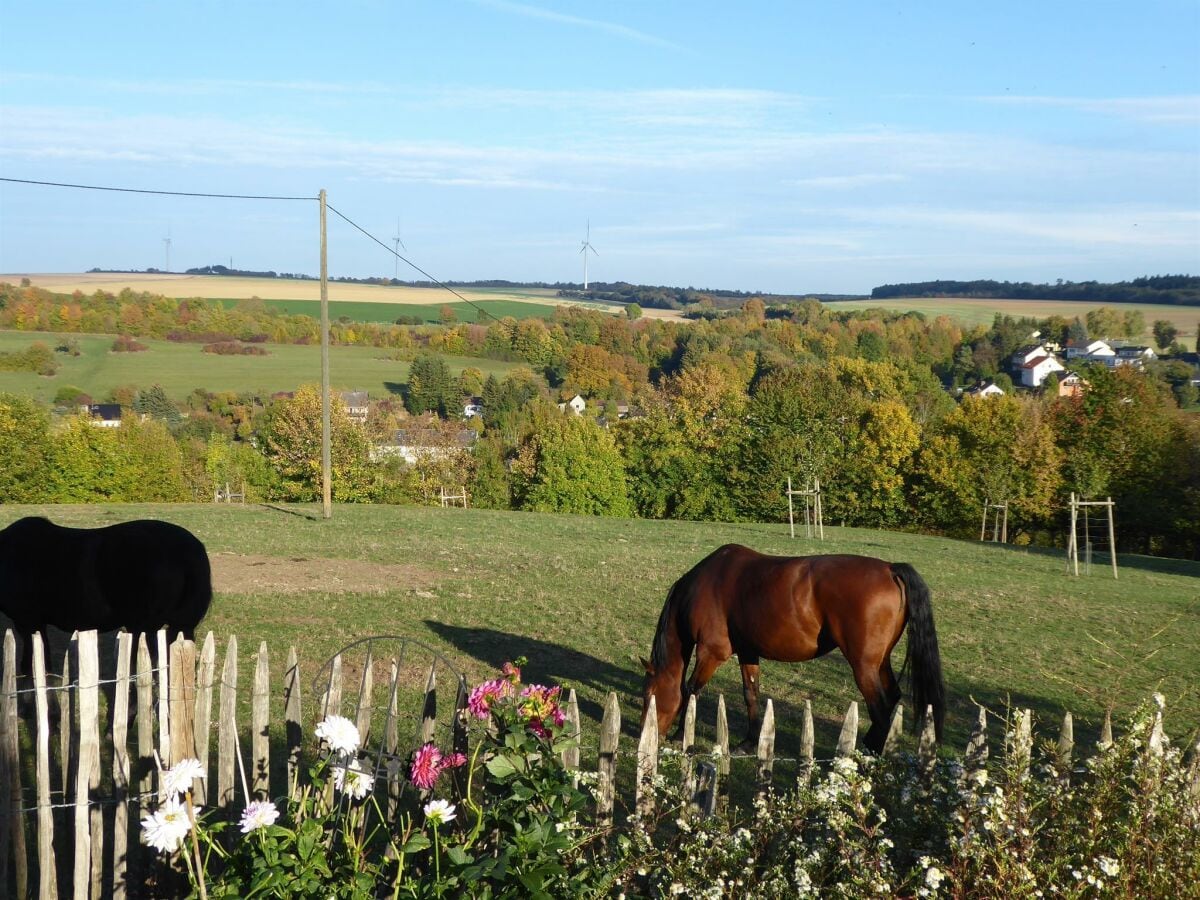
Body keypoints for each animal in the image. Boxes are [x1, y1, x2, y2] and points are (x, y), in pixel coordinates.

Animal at [643, 542, 940, 753]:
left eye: (649, 695)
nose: (646, 735)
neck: (707, 583)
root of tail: (890, 569)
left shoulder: (710, 652)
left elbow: (691, 690)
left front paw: (681, 735)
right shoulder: (748, 652)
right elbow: (751, 694)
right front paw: (749, 743)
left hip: (863, 666)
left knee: (879, 707)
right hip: (880, 662)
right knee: (891, 697)